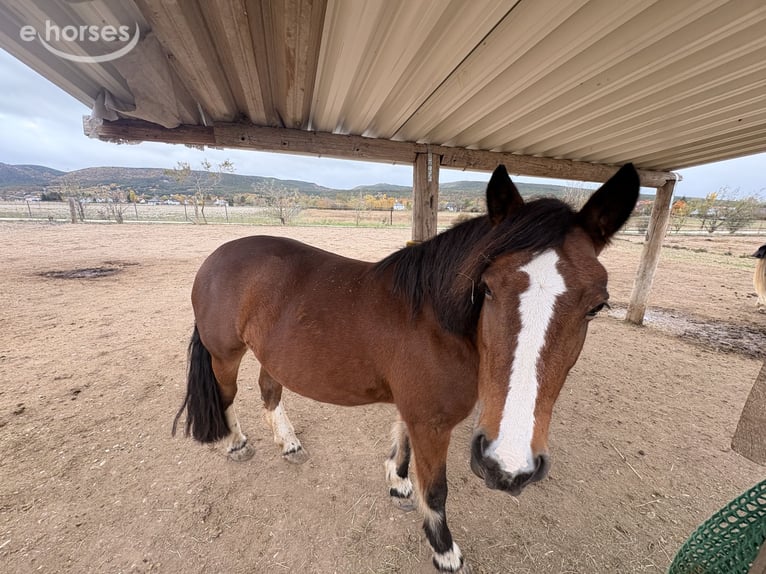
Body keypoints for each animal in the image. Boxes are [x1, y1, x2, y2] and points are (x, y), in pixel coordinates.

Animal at [172, 163, 640, 573]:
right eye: (487, 287)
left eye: (597, 306)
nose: (508, 466)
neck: (433, 319)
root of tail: (217, 257)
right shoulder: (431, 422)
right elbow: (436, 490)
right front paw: (444, 550)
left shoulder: (414, 412)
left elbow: (402, 445)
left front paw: (397, 483)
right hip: (225, 354)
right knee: (228, 396)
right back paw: (236, 444)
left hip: (271, 354)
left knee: (270, 390)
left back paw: (288, 444)